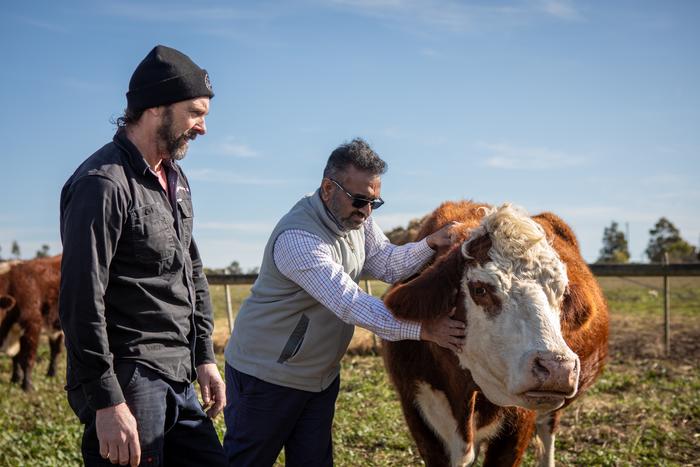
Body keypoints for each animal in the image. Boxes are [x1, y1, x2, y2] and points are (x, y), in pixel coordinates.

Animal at [0, 256, 63, 392]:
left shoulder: (32, 326)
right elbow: (16, 358)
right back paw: (51, 373)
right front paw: (15, 379)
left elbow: (26, 359)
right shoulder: (15, 332)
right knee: (55, 349)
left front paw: (27, 386)